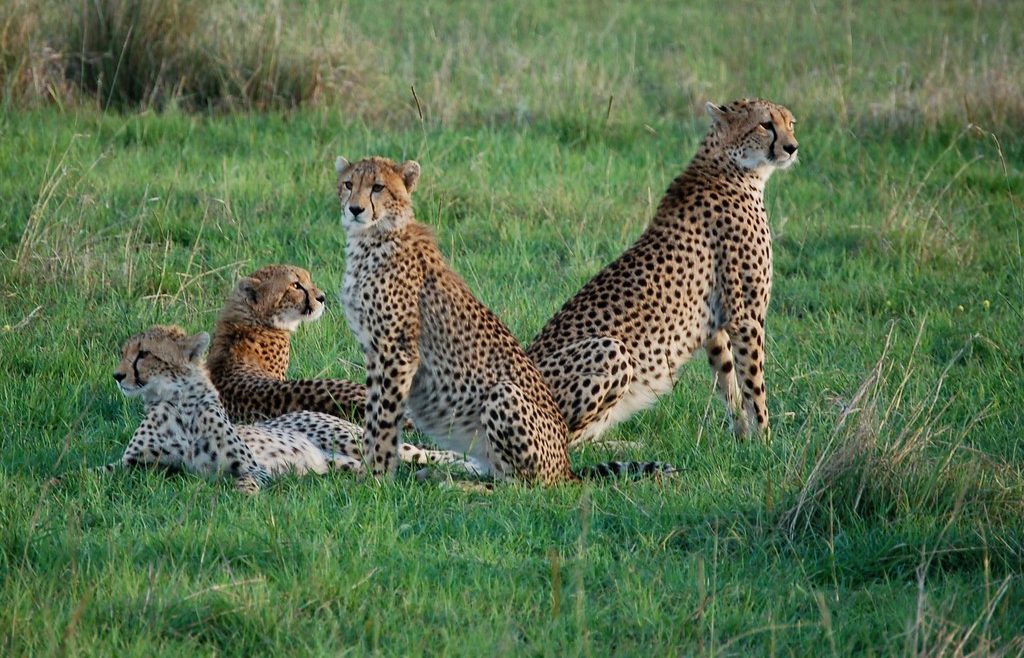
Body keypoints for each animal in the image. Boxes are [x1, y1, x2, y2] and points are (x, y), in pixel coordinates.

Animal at [336, 155, 675, 484]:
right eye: (349, 184)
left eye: (378, 187)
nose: (355, 209)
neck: (371, 239)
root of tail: (566, 466)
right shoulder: (375, 352)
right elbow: (373, 416)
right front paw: (371, 473)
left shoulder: (396, 352)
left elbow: (382, 420)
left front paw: (375, 477)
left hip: (504, 395)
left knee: (520, 487)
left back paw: (456, 484)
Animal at [527, 98, 798, 444]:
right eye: (765, 124)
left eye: (791, 124)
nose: (792, 147)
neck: (730, 166)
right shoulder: (746, 316)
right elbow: (754, 384)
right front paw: (766, 442)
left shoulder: (715, 324)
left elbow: (729, 382)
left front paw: (741, 439)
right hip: (611, 350)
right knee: (561, 441)